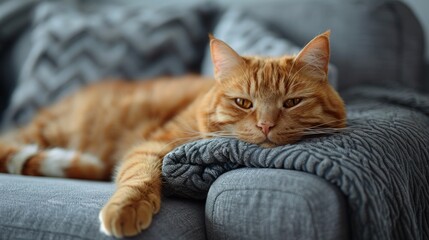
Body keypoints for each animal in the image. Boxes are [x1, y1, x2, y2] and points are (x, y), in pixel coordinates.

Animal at [0, 31, 344, 237]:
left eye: (292, 102)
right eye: (244, 103)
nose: (266, 125)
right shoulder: (154, 144)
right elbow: (139, 175)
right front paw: (126, 208)